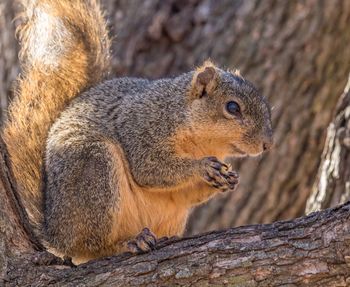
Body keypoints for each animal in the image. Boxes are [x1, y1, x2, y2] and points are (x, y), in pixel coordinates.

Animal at [4, 0, 274, 266]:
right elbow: (149, 168)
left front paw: (229, 178)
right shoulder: (142, 127)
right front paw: (202, 167)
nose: (267, 145)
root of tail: (56, 235)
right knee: (92, 247)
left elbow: (188, 194)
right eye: (232, 107)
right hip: (94, 171)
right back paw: (129, 242)